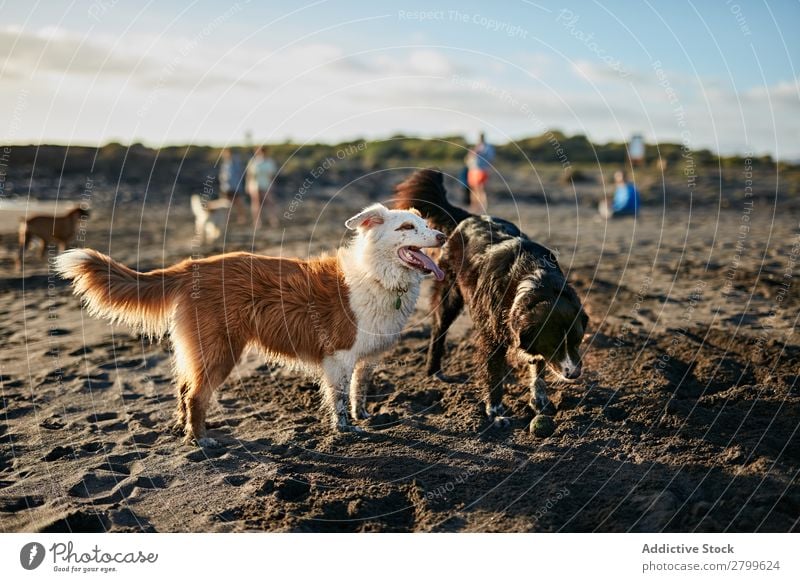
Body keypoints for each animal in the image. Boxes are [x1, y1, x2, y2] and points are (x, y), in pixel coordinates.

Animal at [56, 203, 444, 450]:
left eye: (425, 224)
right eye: (406, 228)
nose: (441, 235)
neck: (377, 274)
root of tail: (191, 267)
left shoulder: (368, 357)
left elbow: (358, 391)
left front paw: (363, 417)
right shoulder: (339, 356)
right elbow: (337, 399)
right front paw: (344, 431)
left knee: (183, 388)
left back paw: (184, 429)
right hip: (220, 350)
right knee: (195, 394)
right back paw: (199, 439)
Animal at [394, 169, 588, 428]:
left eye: (577, 340)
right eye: (555, 344)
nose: (575, 374)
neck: (536, 280)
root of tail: (468, 217)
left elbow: (537, 366)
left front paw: (539, 401)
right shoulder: (492, 336)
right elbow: (494, 374)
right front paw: (496, 413)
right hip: (449, 294)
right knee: (438, 330)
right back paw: (433, 371)